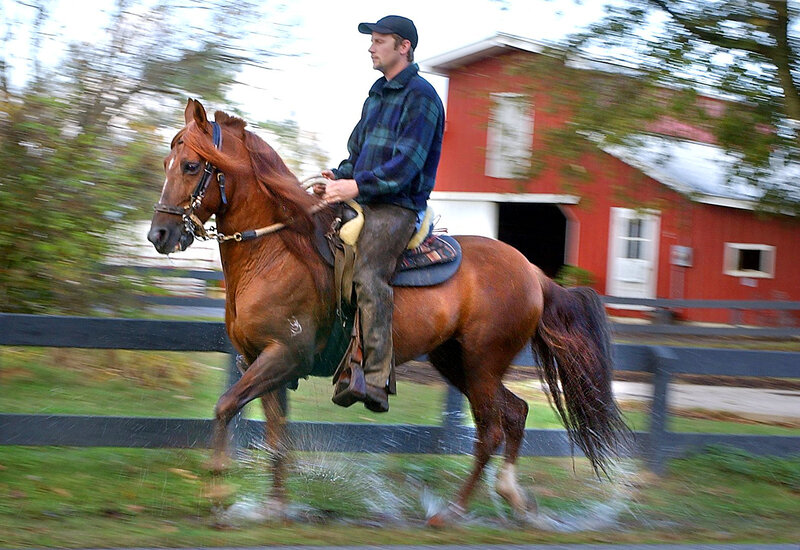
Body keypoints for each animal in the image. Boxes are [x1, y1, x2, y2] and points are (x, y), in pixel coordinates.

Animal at [148, 98, 629, 525]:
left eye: (191, 166)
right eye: (169, 162)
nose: (159, 234)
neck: (275, 251)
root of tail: (533, 273)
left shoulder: (284, 356)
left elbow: (225, 406)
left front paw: (217, 494)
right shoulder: (260, 361)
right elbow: (276, 435)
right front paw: (275, 507)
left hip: (483, 362)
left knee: (491, 428)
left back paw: (453, 512)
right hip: (457, 362)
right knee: (516, 413)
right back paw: (513, 498)